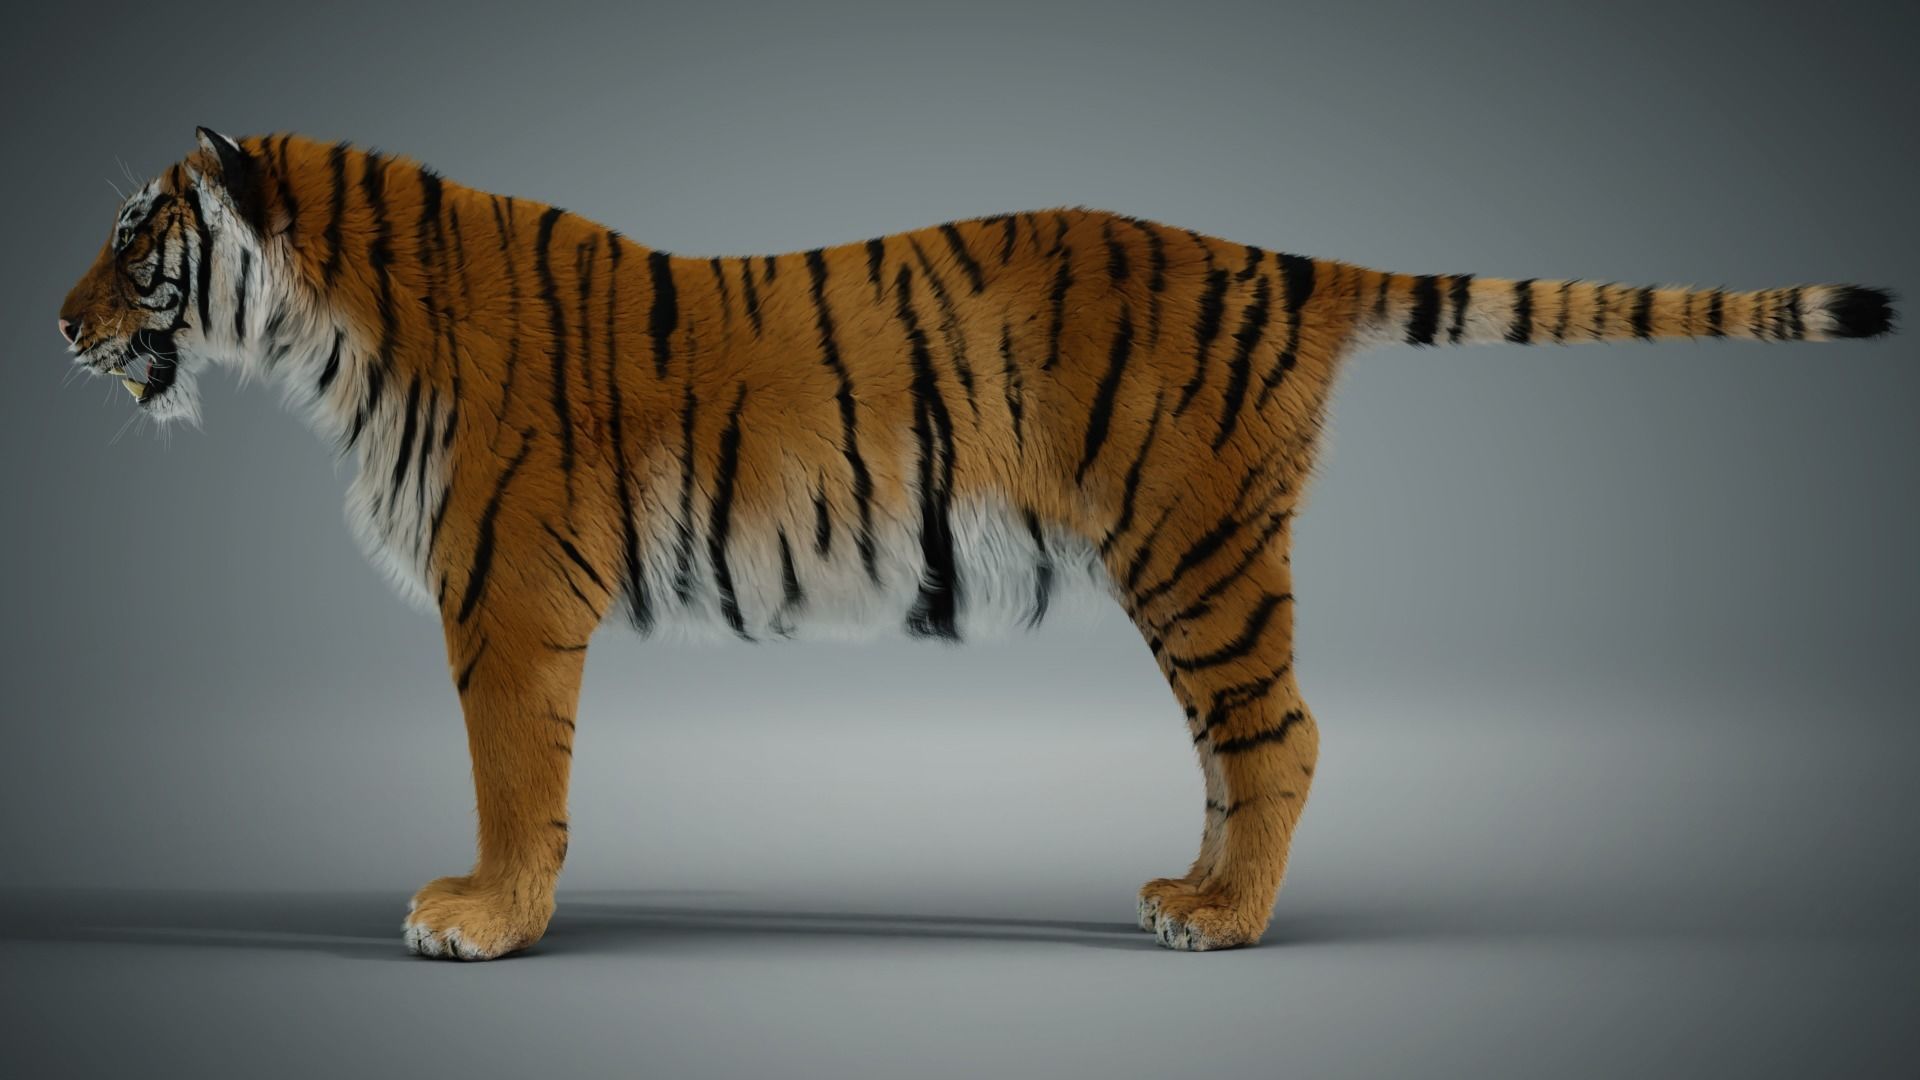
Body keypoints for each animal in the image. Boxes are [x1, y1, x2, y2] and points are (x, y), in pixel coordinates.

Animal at [58, 128, 1896, 960]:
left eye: (139, 239)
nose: (57, 321)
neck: (327, 339)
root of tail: (1282, 260)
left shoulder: (504, 601)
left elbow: (518, 781)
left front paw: (481, 918)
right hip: (1195, 566)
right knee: (1239, 747)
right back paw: (1189, 892)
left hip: (1199, 550)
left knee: (1283, 733)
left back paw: (1224, 926)